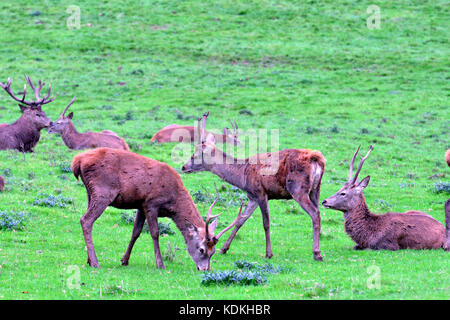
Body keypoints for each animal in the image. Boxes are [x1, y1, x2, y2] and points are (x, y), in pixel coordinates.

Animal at [71, 148, 244, 270]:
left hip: (91, 193)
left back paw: (89, 259)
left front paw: (124, 260)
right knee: (86, 220)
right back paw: (95, 262)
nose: (205, 269)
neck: (173, 201)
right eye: (202, 249)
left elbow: (136, 232)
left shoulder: (141, 205)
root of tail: (77, 161)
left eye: (213, 251)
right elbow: (155, 233)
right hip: (103, 191)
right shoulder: (151, 203)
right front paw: (160, 264)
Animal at [181, 112, 326, 260]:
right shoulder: (252, 197)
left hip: (298, 188)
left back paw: (317, 253)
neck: (242, 176)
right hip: (316, 189)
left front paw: (268, 253)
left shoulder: (260, 192)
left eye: (195, 155)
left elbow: (266, 223)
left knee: (314, 213)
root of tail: (317, 159)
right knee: (318, 212)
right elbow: (240, 221)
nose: (183, 167)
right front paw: (224, 249)